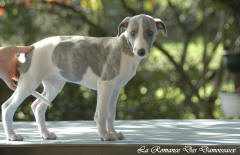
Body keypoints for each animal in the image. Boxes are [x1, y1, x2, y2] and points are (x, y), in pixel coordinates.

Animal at [1, 13, 167, 141]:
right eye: (132, 33)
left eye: (150, 32)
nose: (141, 51)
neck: (124, 48)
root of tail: (30, 50)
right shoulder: (105, 85)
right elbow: (102, 113)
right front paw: (105, 135)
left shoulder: (115, 89)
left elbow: (111, 113)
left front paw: (113, 132)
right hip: (28, 82)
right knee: (7, 106)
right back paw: (12, 136)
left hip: (54, 84)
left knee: (37, 106)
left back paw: (46, 134)